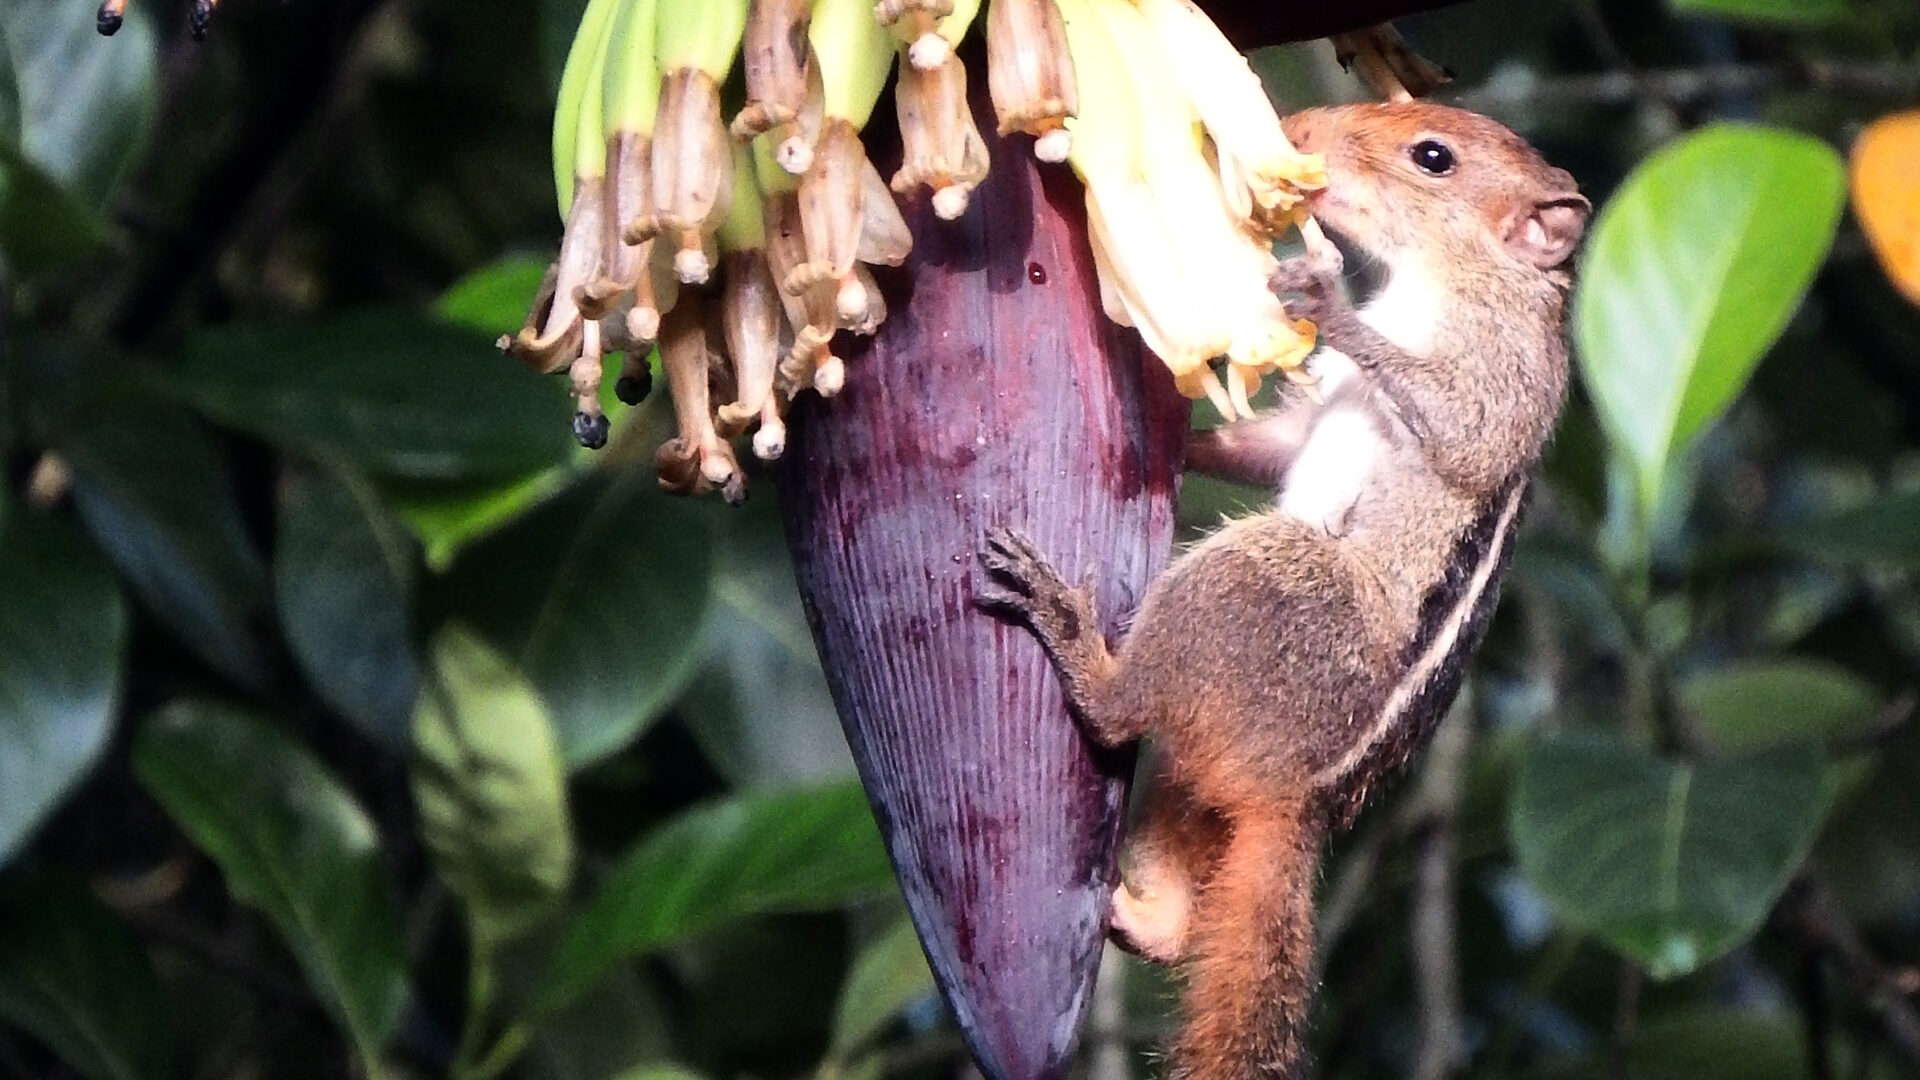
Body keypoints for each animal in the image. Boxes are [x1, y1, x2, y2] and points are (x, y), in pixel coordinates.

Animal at [979, 102, 1590, 1080]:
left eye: (1434, 157)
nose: (1301, 130)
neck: (1453, 275)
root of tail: (1293, 796)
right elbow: (1277, 444)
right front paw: (1181, 438)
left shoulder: (1502, 378)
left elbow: (1452, 422)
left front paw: (1323, 297)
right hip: (1190, 780)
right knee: (1173, 916)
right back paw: (1132, 912)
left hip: (1262, 578)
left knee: (1116, 715)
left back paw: (1070, 633)